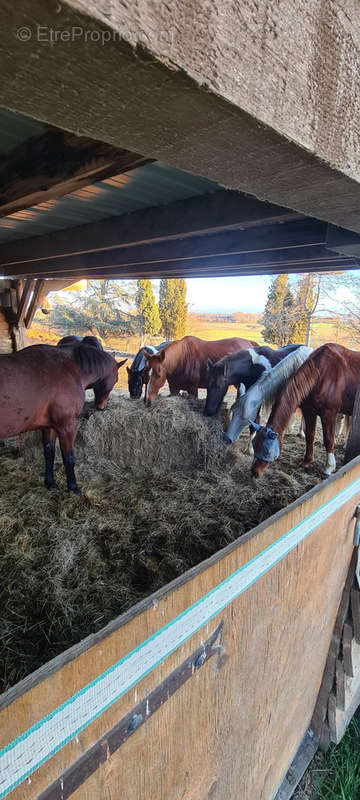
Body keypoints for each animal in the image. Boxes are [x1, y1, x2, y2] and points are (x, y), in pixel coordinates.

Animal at [0, 346, 126, 494]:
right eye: (116, 379)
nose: (101, 407)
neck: (71, 369)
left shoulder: (49, 427)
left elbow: (49, 454)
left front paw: (50, 483)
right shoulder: (67, 426)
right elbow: (69, 458)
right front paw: (73, 487)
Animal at [250, 340, 360, 478]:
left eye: (266, 451)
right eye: (254, 445)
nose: (254, 472)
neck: (322, 373)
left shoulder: (329, 414)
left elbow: (328, 439)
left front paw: (329, 467)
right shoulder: (309, 411)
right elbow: (310, 435)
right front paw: (306, 461)